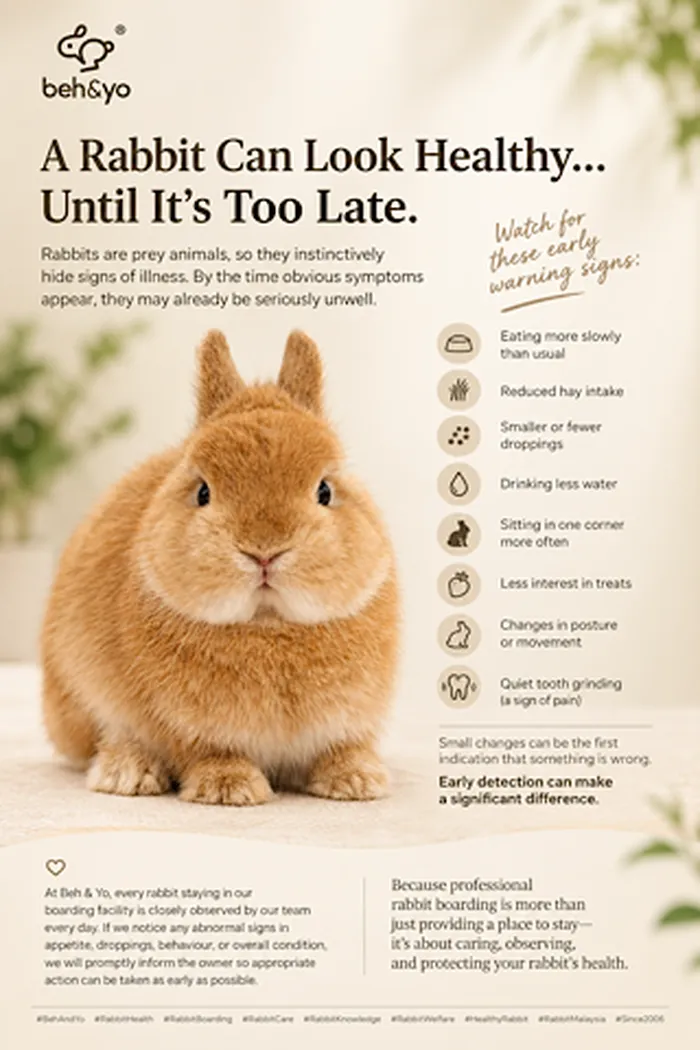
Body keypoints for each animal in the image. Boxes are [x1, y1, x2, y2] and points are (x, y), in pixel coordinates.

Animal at [41, 330, 400, 806]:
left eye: (324, 490)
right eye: (203, 492)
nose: (264, 551)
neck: (268, 624)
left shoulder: (348, 720)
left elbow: (343, 747)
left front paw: (357, 781)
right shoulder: (183, 725)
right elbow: (208, 752)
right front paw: (230, 788)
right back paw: (127, 774)